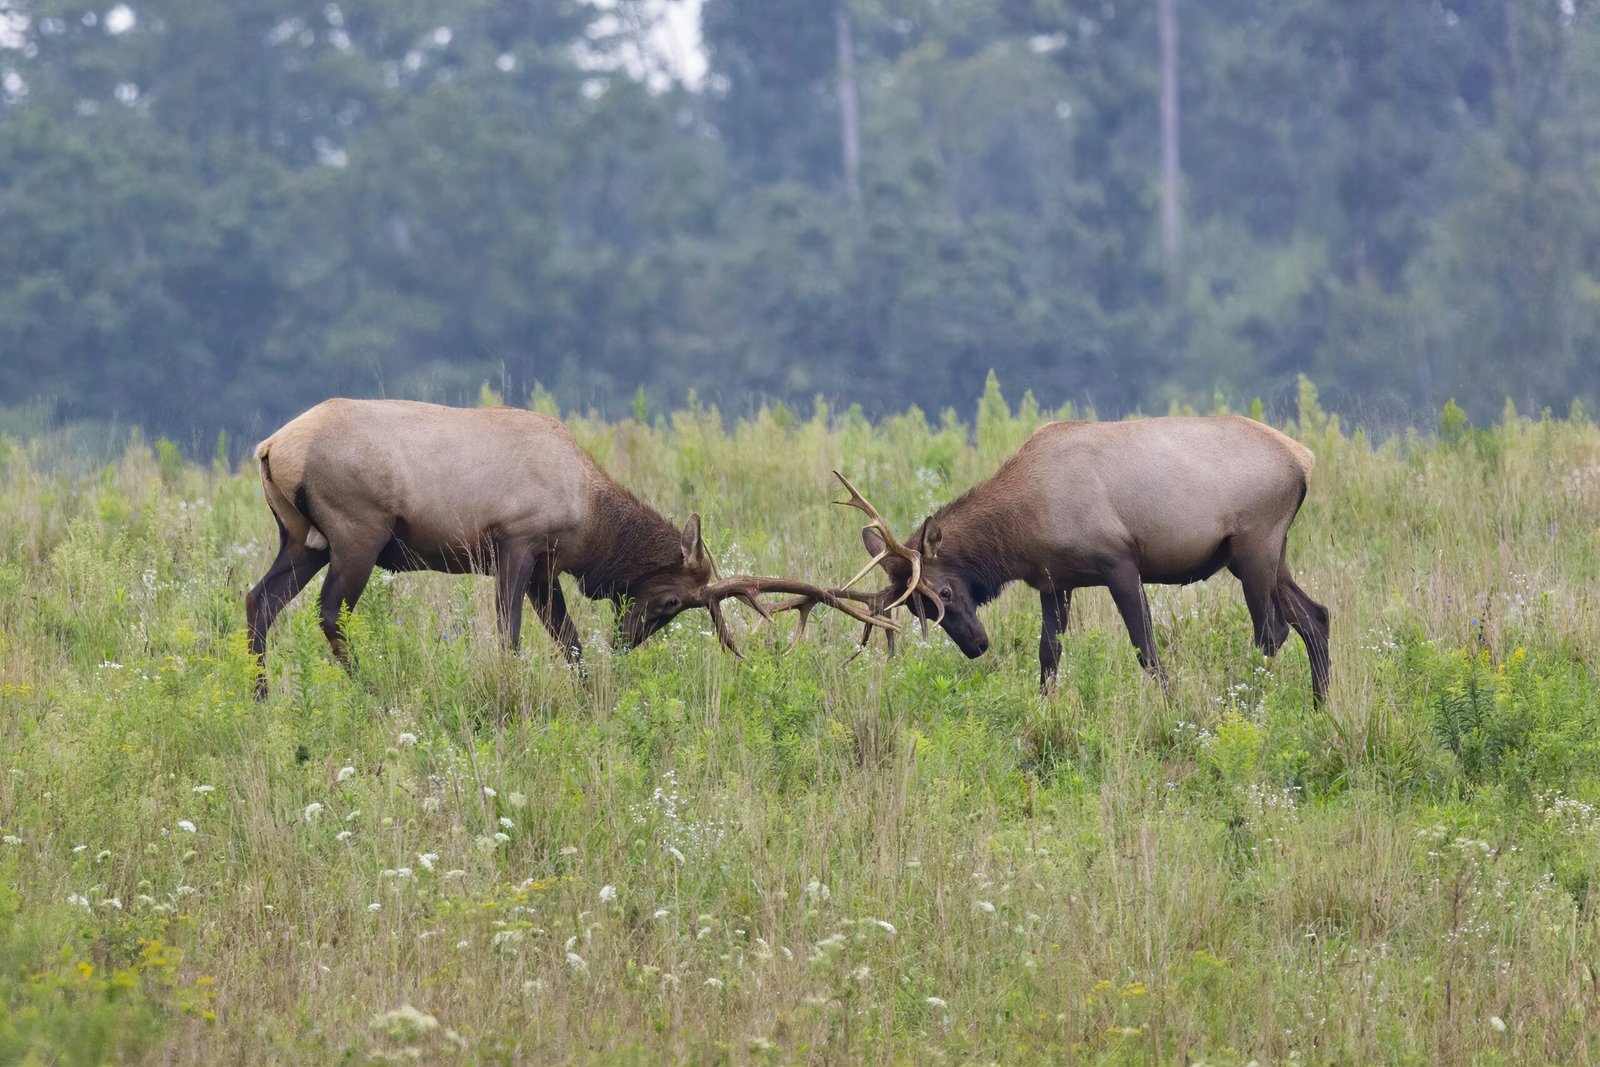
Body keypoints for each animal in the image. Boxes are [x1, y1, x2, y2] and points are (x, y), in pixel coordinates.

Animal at [246, 398, 893, 698]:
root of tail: (271, 446)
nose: (626, 641)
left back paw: (259, 696)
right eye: (670, 602)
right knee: (332, 613)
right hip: (357, 531)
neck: (590, 520)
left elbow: (569, 641)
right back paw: (370, 690)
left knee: (259, 601)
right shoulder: (516, 542)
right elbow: (510, 638)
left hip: (303, 539)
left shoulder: (544, 568)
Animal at [833, 415, 1332, 704]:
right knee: (1316, 615)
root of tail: (1305, 460)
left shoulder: (1120, 562)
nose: (977, 645)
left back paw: (1252, 703)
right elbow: (1048, 653)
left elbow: (1146, 647)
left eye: (944, 591)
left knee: (1272, 631)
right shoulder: (1054, 581)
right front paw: (1044, 710)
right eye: (913, 606)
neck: (1020, 531)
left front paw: (1174, 706)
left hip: (1255, 545)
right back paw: (1320, 706)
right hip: (1263, 553)